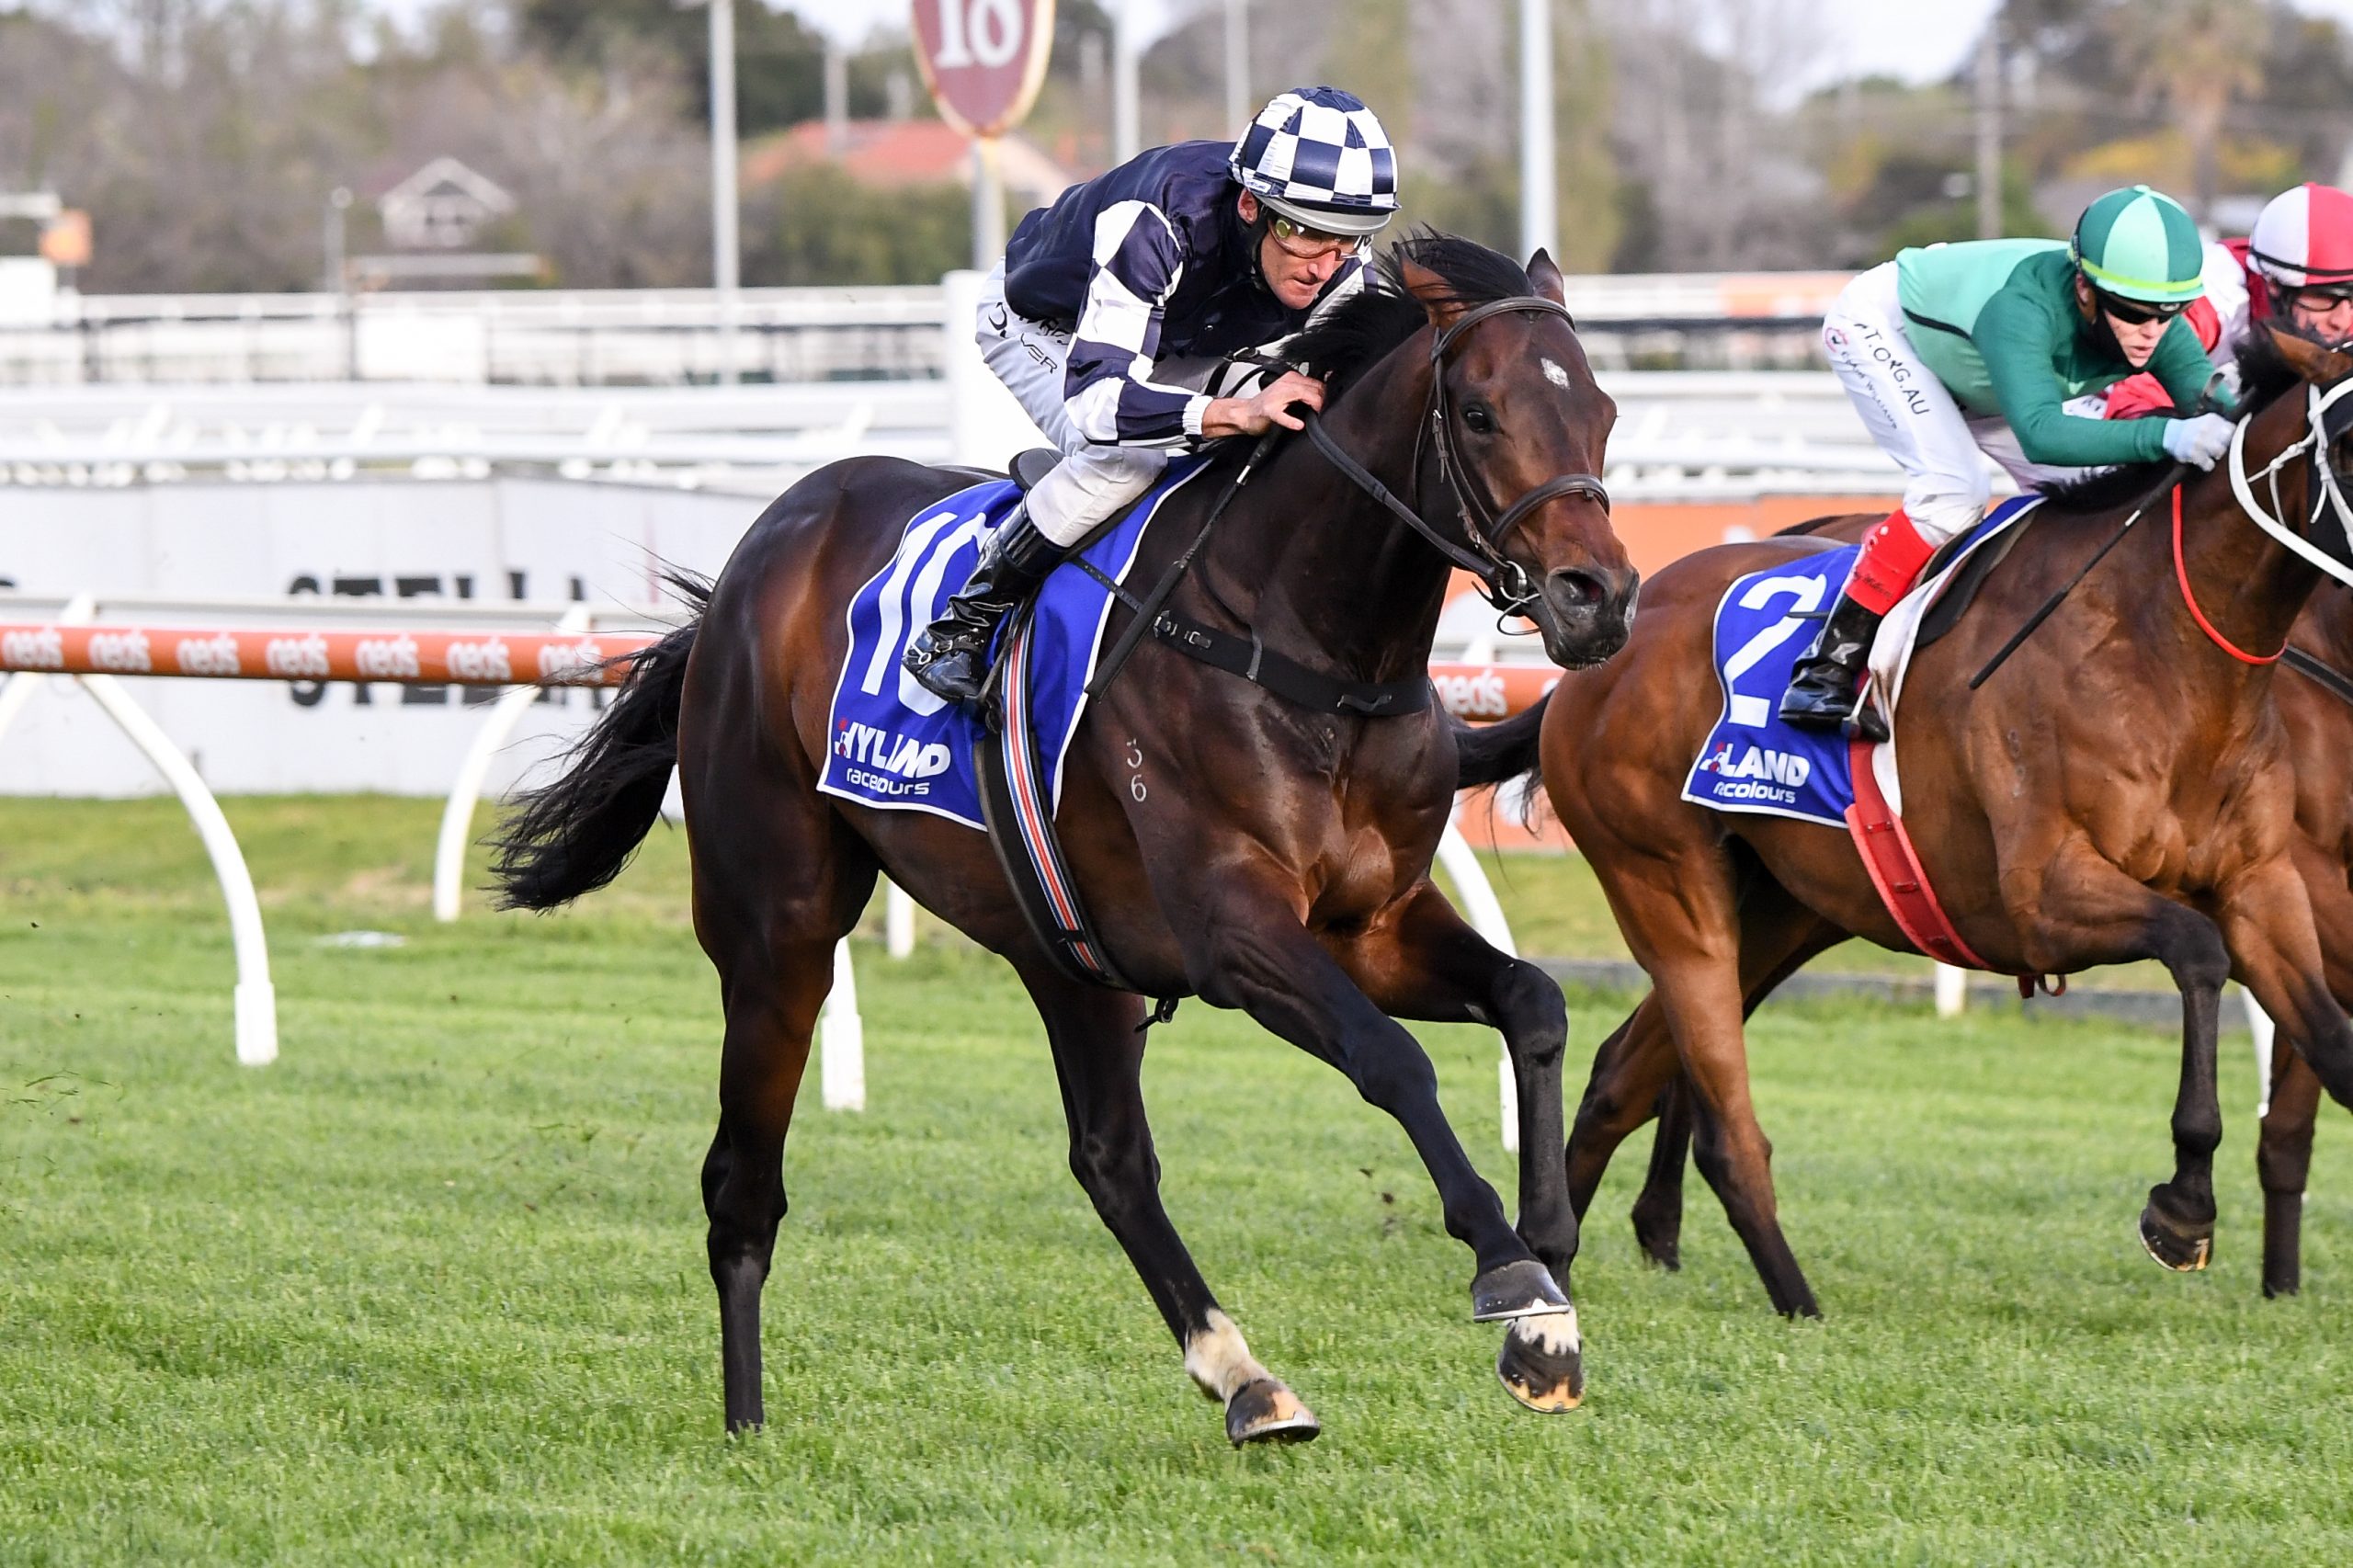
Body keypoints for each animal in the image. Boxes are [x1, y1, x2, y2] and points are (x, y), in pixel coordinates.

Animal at [490, 235, 1637, 1443]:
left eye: (1601, 408)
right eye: (1478, 411)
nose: (1598, 597)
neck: (1301, 644)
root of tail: (754, 559)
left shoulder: (1370, 923)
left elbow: (1533, 1003)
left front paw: (1550, 1293)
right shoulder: (1234, 932)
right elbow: (1393, 1060)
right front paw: (1509, 1276)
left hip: (1065, 942)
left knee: (1111, 1161)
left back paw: (1246, 1377)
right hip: (777, 922)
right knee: (740, 1179)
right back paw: (747, 1421)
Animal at [1453, 325, 2353, 1336]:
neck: (2163, 649)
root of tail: (1595, 644)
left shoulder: (2266, 887)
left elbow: (2330, 1042)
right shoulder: (2043, 898)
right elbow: (2197, 951)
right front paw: (2183, 1207)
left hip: (1784, 910)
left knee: (1623, 1073)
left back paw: (1556, 1267)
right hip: (1666, 885)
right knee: (1726, 1124)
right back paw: (1783, 1300)